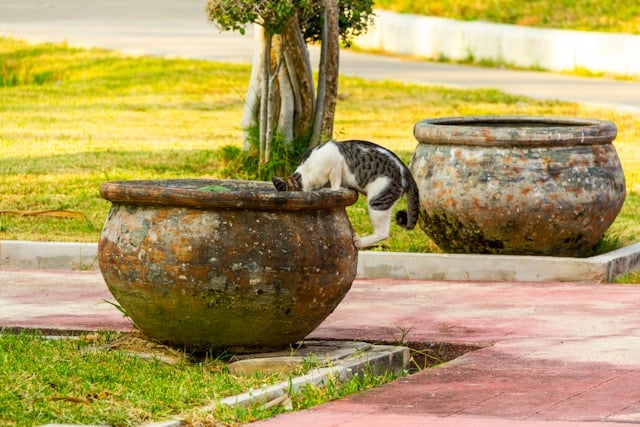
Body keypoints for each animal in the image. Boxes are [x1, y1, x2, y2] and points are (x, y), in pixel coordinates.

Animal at [272, 139, 418, 249]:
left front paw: (331, 190)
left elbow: (335, 180)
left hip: (378, 199)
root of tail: (407, 172)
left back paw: (360, 242)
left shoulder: (335, 160)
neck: (307, 170)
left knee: (383, 233)